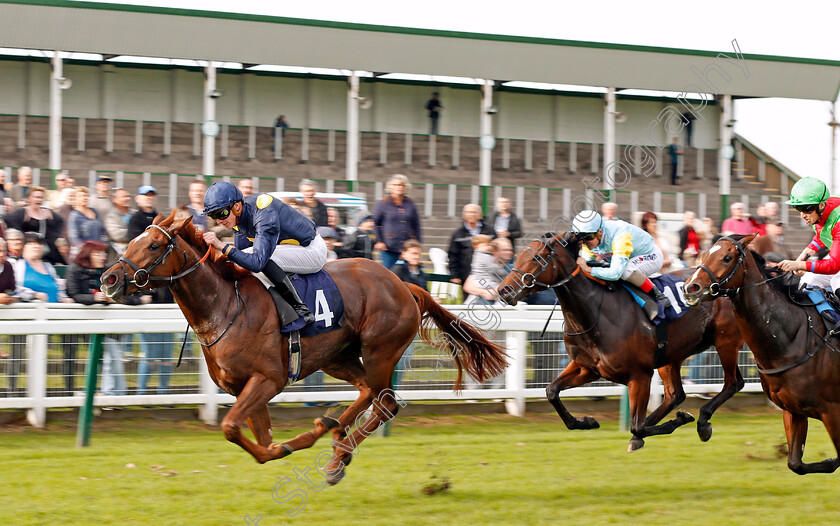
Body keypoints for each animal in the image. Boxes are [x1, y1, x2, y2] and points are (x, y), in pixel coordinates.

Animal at [98, 210, 506, 486]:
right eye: (130, 241)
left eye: (152, 245)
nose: (109, 278)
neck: (225, 306)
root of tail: (403, 283)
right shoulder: (242, 387)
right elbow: (259, 438)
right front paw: (283, 446)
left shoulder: (269, 379)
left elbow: (231, 427)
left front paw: (288, 446)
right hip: (337, 357)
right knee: (366, 392)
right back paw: (335, 440)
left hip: (380, 350)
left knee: (385, 401)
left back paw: (335, 448)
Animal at [496, 235, 744, 454]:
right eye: (519, 255)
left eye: (537, 258)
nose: (503, 290)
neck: (596, 313)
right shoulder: (587, 368)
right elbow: (551, 391)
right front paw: (587, 421)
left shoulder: (639, 375)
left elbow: (637, 425)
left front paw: (681, 419)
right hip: (672, 355)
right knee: (675, 395)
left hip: (726, 341)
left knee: (733, 383)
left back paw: (702, 422)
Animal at [684, 234, 836, 474]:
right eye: (705, 253)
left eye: (727, 257)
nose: (691, 287)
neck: (793, 335)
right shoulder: (794, 410)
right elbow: (795, 463)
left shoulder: (832, 411)